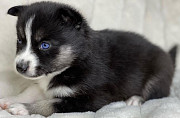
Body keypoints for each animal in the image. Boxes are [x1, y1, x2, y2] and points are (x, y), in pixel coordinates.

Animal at [0, 1, 177, 116]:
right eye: (20, 41)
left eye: (45, 45)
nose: (20, 67)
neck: (71, 64)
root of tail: (166, 54)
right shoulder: (43, 84)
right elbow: (31, 90)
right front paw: (10, 99)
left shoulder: (92, 99)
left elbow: (52, 104)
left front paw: (22, 108)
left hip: (159, 75)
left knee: (156, 92)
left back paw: (134, 99)